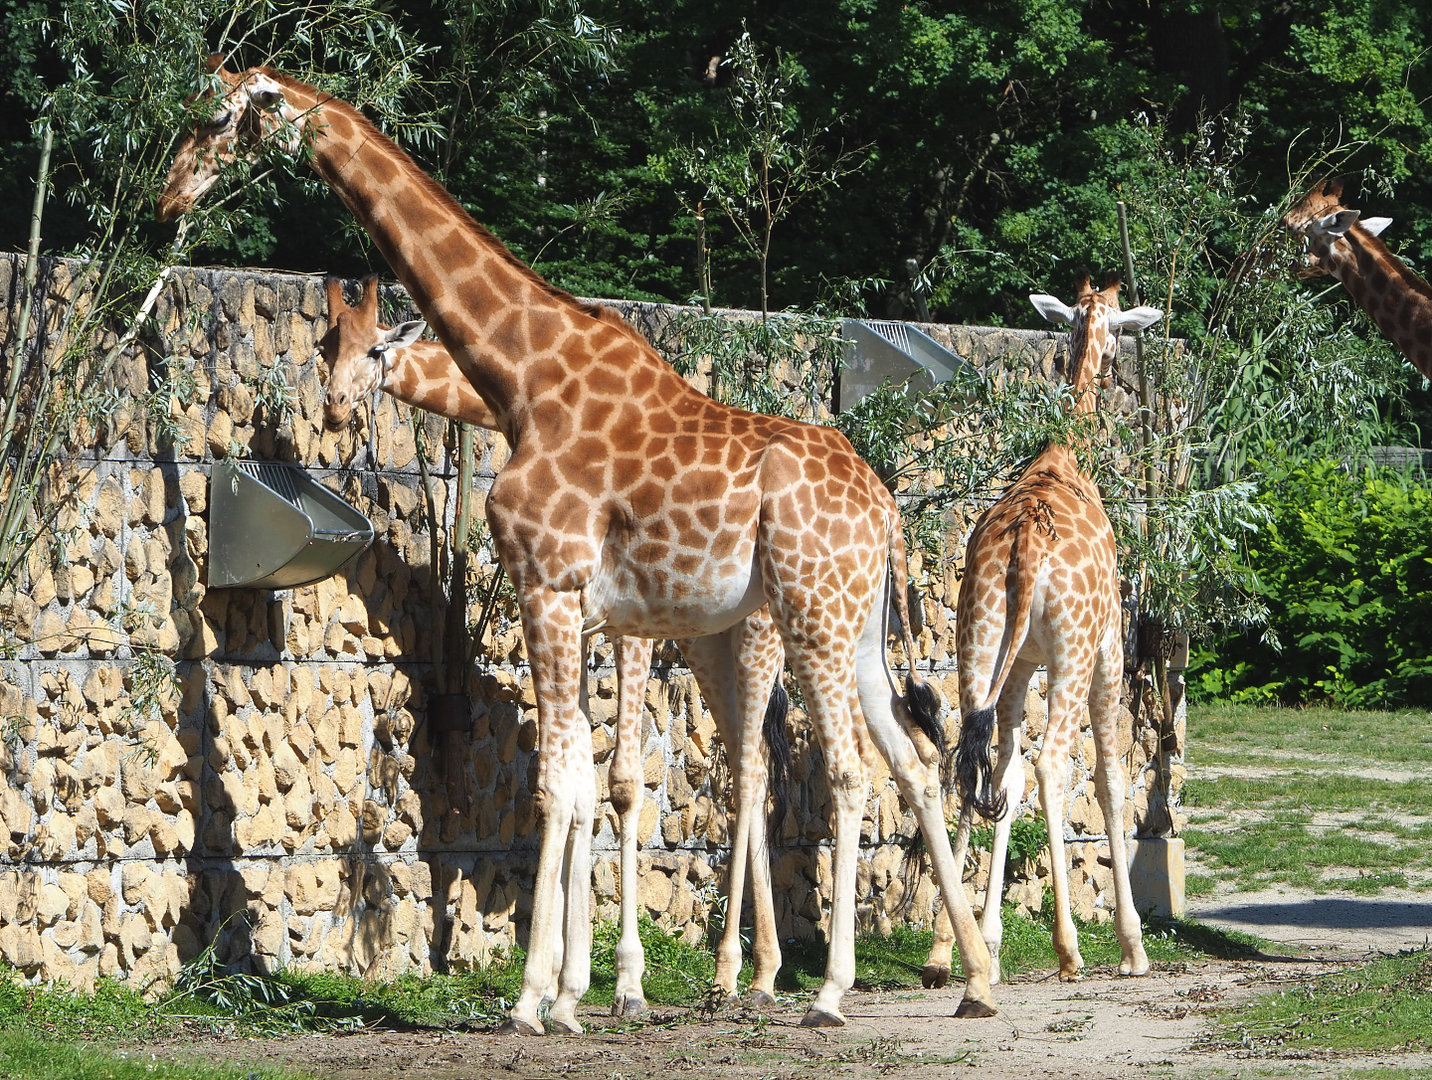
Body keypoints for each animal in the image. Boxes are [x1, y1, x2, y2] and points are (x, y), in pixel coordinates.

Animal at [317, 275, 792, 1014]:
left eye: (373, 348)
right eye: (325, 344)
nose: (335, 410)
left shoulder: (624, 630)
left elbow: (619, 783)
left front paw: (623, 982)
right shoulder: (585, 623)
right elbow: (579, 781)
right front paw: (573, 975)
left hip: (758, 632)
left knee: (752, 765)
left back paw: (733, 972)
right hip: (711, 646)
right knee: (760, 760)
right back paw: (761, 971)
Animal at [949, 272, 1160, 985]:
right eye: (1122, 331)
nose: (1120, 369)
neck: (1067, 455)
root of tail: (1024, 545)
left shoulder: (1020, 663)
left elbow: (1003, 774)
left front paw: (986, 941)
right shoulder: (1106, 649)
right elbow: (1112, 780)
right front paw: (1131, 945)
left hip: (978, 642)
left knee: (972, 760)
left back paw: (946, 955)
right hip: (1072, 651)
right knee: (1052, 767)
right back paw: (1070, 950)